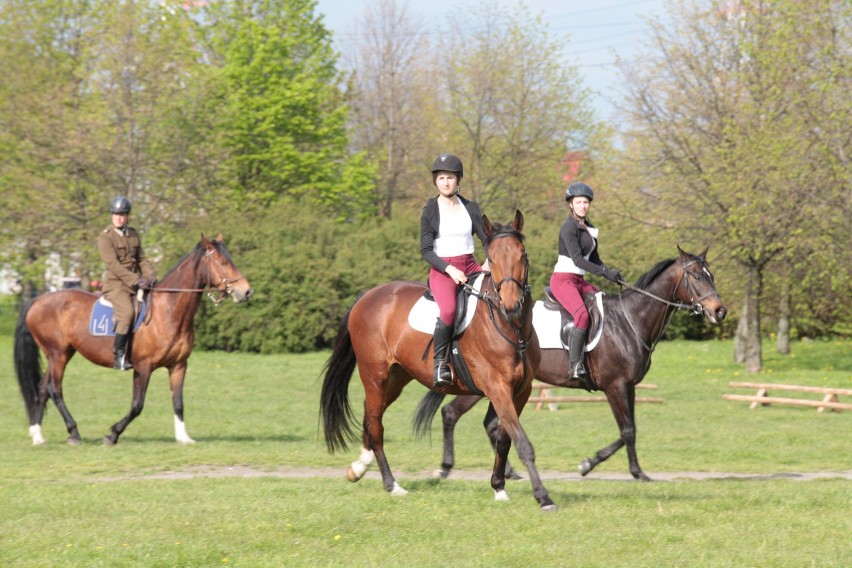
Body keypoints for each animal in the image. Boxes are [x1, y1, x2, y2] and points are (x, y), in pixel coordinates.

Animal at [15, 233, 251, 446]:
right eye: (222, 262)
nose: (247, 292)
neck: (168, 310)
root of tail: (38, 300)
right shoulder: (143, 367)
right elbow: (137, 405)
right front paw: (112, 434)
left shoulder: (178, 365)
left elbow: (178, 402)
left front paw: (183, 437)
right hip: (59, 354)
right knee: (55, 390)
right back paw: (73, 433)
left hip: (59, 354)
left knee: (42, 388)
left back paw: (37, 436)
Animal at [320, 212, 560, 510]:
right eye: (491, 259)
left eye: (522, 255)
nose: (511, 305)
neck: (511, 328)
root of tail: (368, 295)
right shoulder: (498, 389)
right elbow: (522, 443)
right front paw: (543, 497)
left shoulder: (521, 391)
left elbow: (505, 439)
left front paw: (499, 487)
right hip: (375, 375)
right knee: (376, 425)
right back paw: (392, 485)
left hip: (396, 379)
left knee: (369, 415)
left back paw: (359, 467)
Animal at [412, 246, 724, 482]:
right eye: (697, 276)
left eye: (711, 275)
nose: (719, 311)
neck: (630, 320)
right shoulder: (615, 386)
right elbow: (627, 431)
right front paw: (611, 468)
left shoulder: (630, 387)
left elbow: (630, 431)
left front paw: (614, 467)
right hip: (483, 385)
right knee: (451, 413)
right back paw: (446, 467)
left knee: (489, 423)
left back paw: (508, 472)